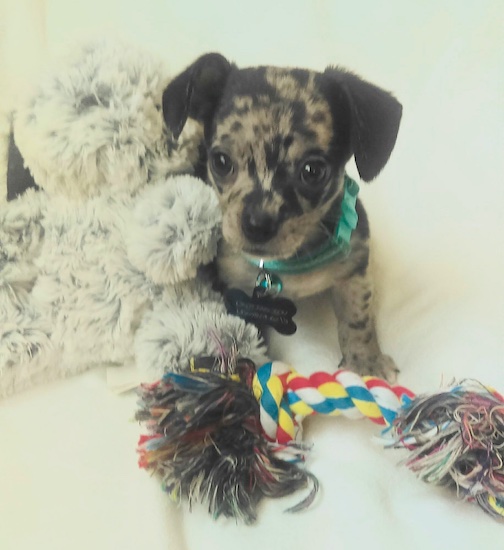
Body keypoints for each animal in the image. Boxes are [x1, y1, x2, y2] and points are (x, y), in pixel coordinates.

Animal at [160, 55, 402, 384]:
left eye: (313, 171)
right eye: (221, 161)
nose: (257, 225)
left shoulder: (354, 267)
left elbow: (357, 316)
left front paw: (366, 361)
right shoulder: (234, 289)